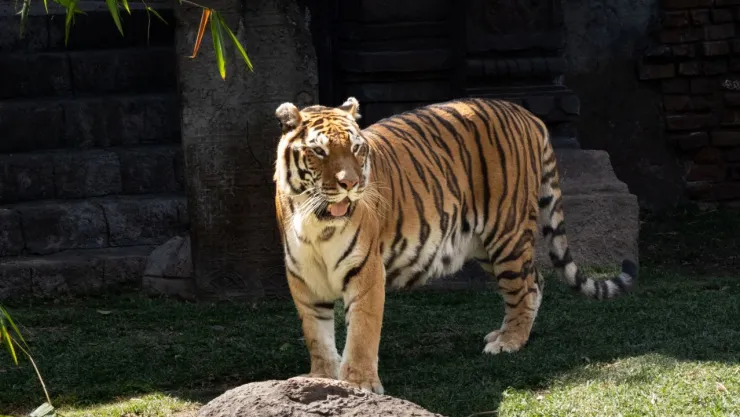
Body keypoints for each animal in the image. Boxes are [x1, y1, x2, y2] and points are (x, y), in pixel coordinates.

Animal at [273, 96, 637, 394]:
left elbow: (362, 332)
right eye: (319, 151)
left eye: (356, 149)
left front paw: (358, 385)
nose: (350, 184)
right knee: (536, 281)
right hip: (486, 245)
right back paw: (505, 334)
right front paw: (321, 379)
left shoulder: (366, 271)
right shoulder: (303, 278)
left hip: (506, 233)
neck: (317, 222)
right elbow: (316, 335)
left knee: (525, 287)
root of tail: (527, 113)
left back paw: (509, 342)